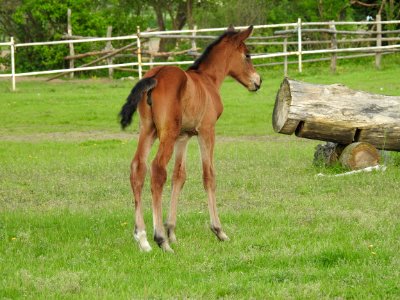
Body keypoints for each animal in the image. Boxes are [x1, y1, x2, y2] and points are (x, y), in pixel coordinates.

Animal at [120, 25, 260, 252]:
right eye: (247, 55)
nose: (258, 81)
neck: (208, 80)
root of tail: (155, 75)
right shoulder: (207, 131)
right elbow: (209, 175)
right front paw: (219, 230)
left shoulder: (183, 137)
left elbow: (179, 176)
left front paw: (172, 231)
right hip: (166, 134)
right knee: (157, 170)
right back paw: (160, 239)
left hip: (148, 130)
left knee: (138, 168)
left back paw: (142, 239)